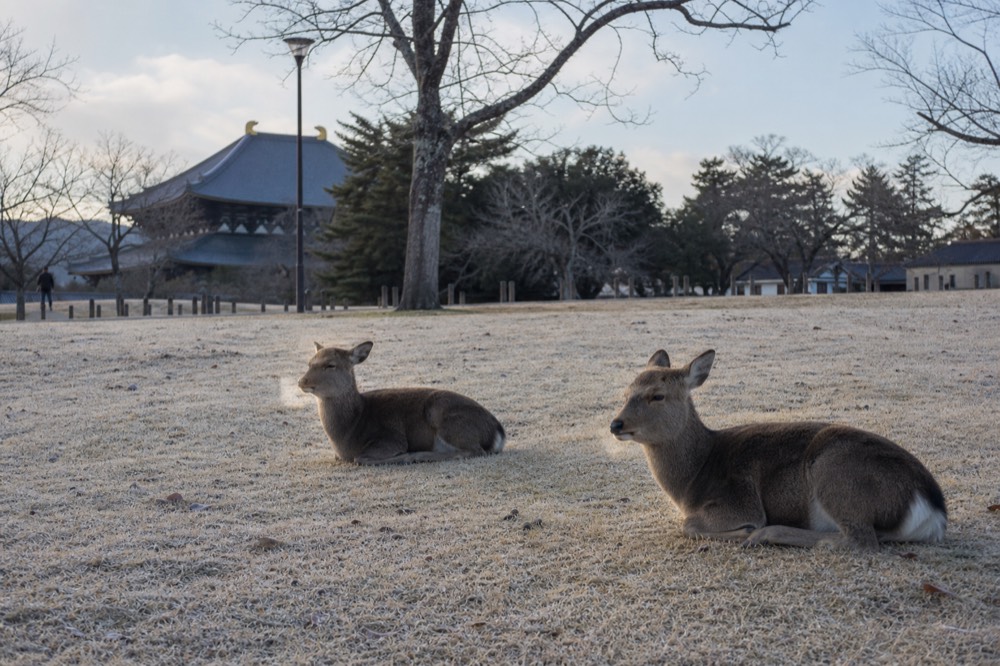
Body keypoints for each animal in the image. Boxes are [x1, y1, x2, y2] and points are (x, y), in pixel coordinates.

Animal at [298, 341, 505, 465]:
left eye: (330, 365)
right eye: (309, 363)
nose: (302, 381)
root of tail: (498, 430)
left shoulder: (391, 438)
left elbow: (361, 458)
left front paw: (402, 456)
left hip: (443, 416)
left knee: (474, 451)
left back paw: (418, 455)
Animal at [610, 349, 947, 550]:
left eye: (657, 395)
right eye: (625, 393)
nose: (616, 424)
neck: (691, 481)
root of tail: (933, 508)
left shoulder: (739, 501)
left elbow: (689, 524)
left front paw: (745, 532)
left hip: (834, 471)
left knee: (860, 539)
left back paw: (768, 534)